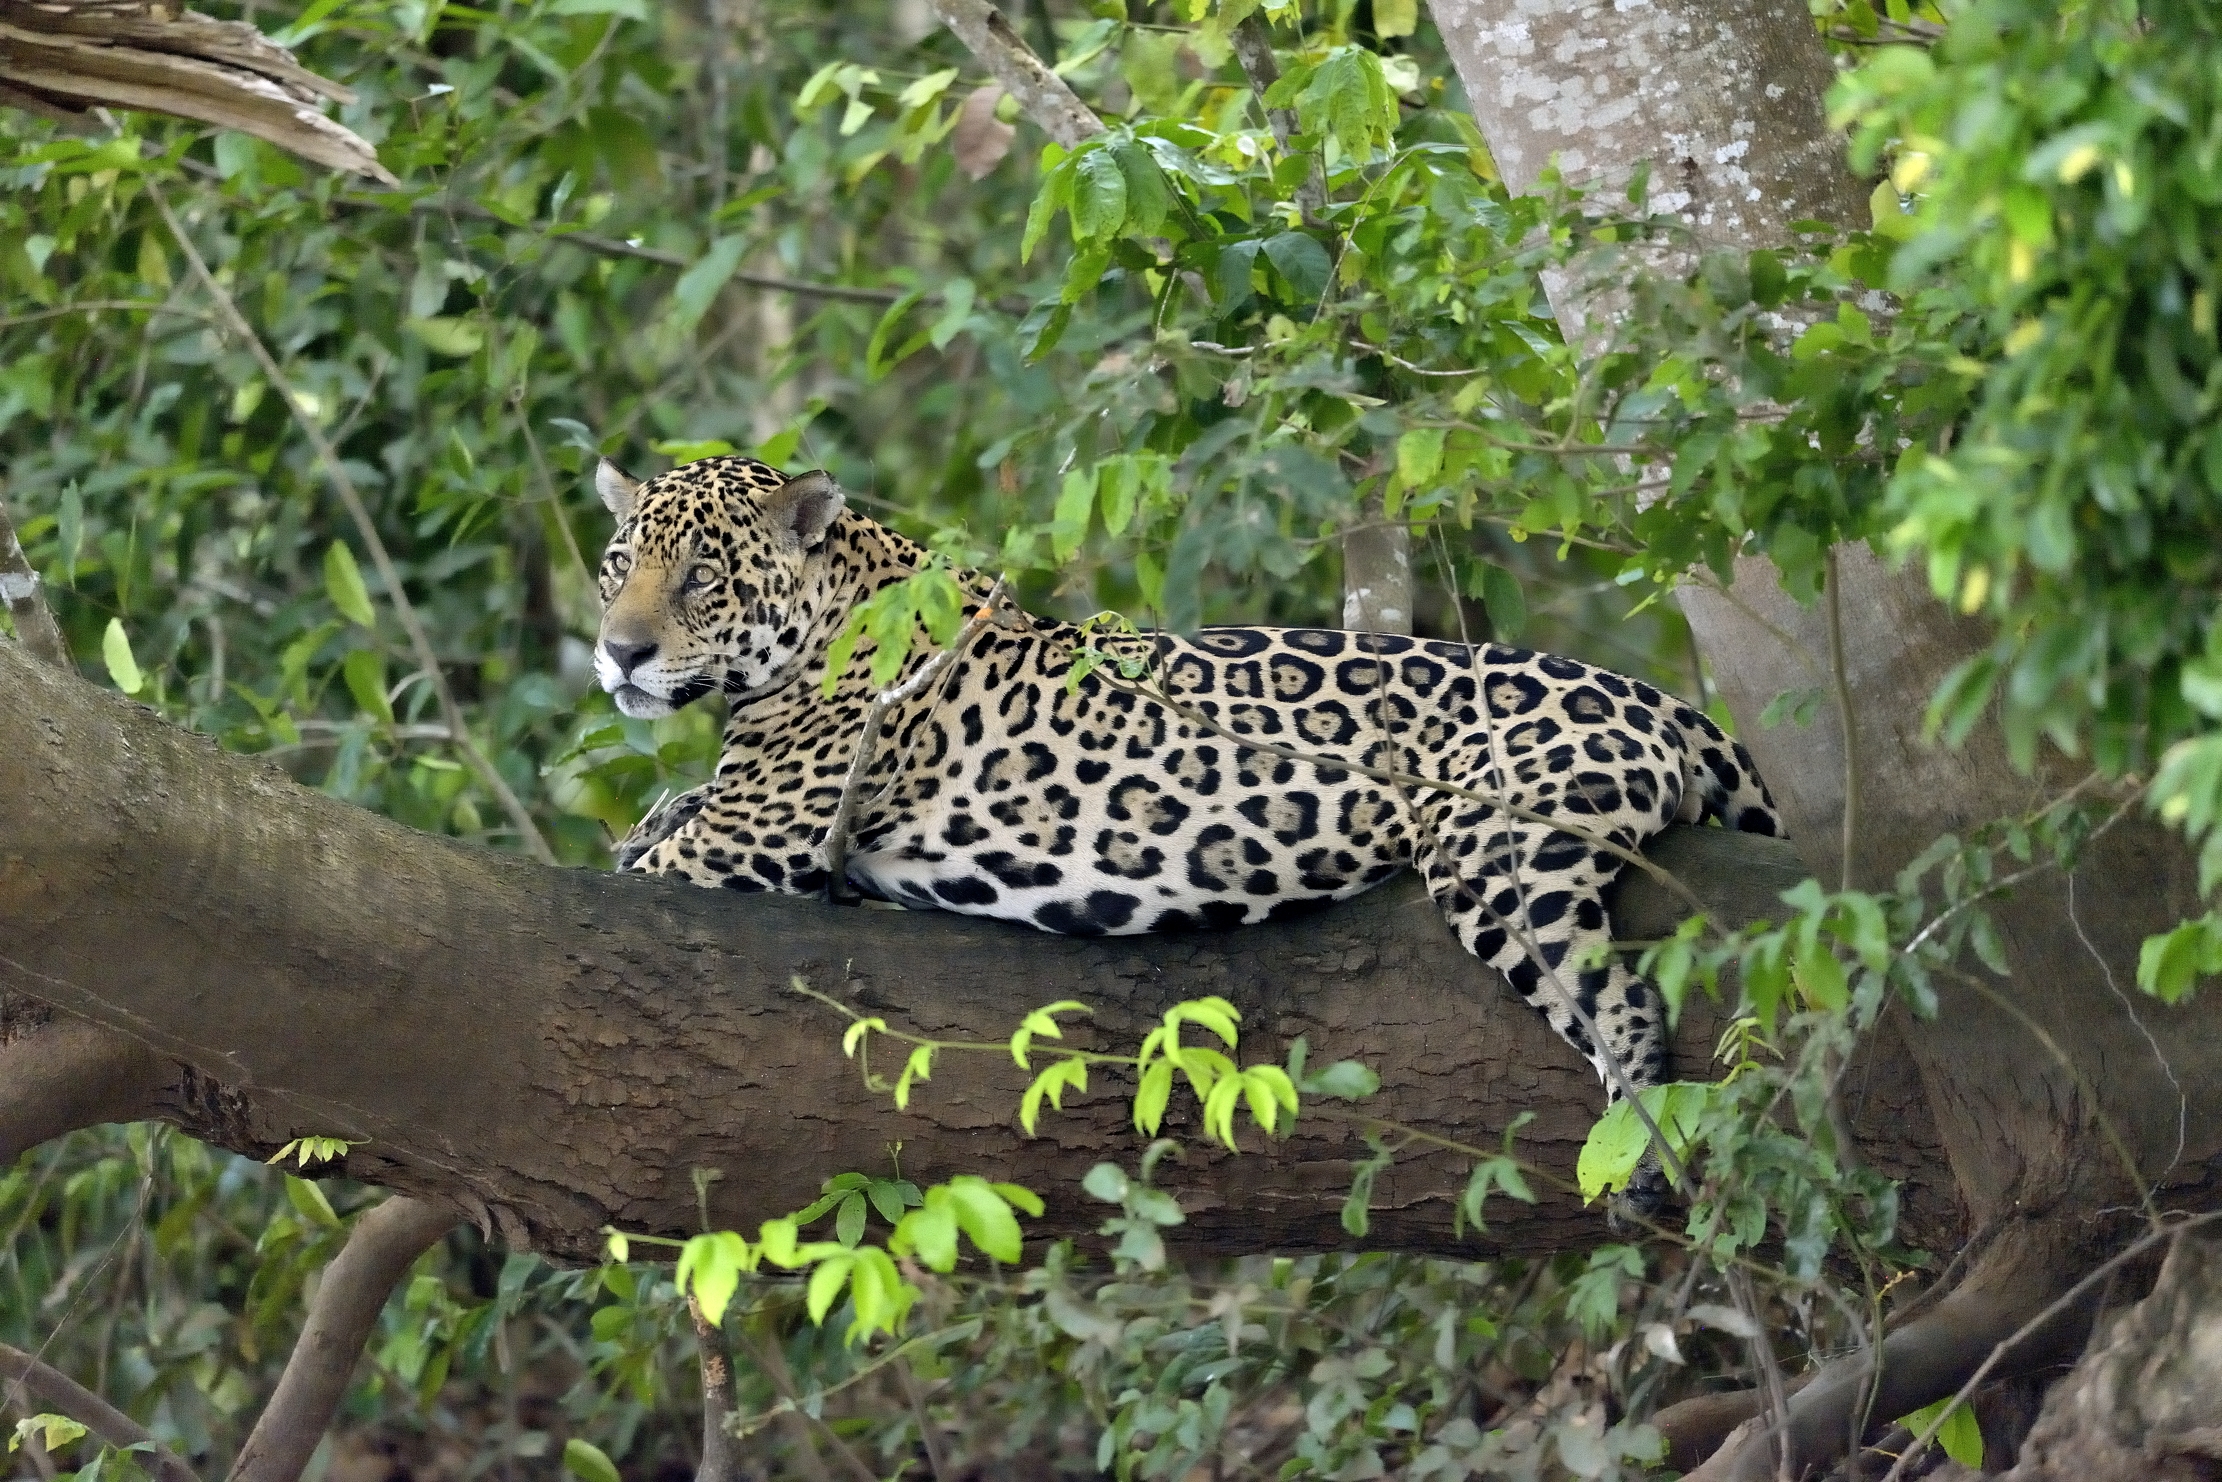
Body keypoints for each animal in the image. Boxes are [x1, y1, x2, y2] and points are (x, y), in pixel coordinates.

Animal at [591, 454, 1781, 1201]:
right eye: (617, 567)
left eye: (701, 577)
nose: (617, 653)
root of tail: (1658, 699)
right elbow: (655, 818)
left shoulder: (748, 838)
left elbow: (649, 856)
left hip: (1501, 855)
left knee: (1621, 1003)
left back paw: (1647, 1158)